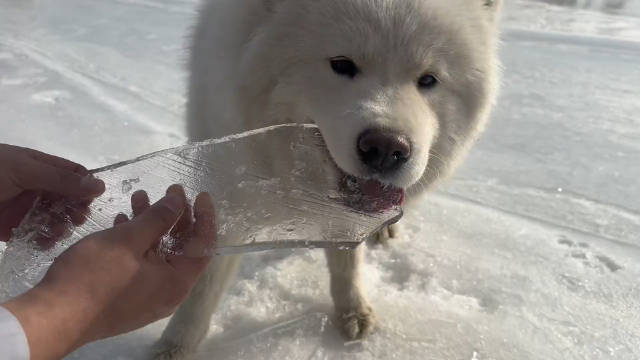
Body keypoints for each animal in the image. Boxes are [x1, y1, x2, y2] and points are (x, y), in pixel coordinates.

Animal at [154, 0, 500, 358]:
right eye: (342, 65)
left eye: (428, 79)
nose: (385, 148)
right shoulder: (225, 196)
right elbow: (203, 287)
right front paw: (174, 346)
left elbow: (347, 262)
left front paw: (352, 311)